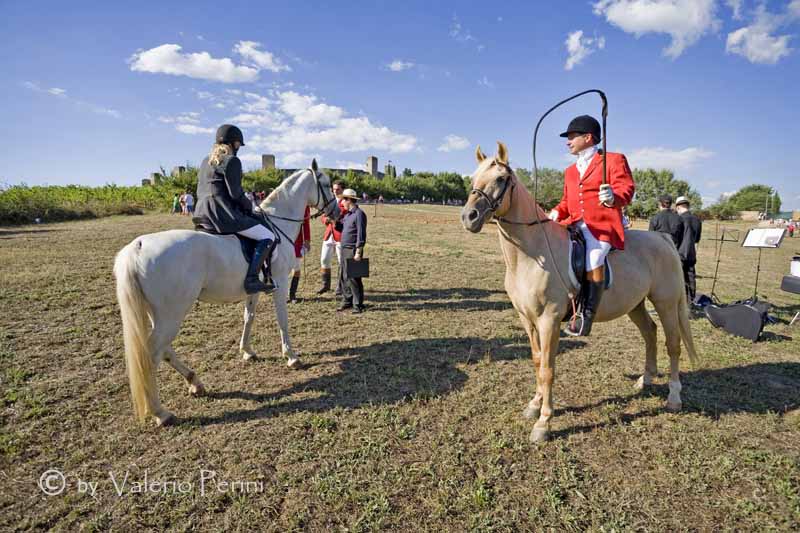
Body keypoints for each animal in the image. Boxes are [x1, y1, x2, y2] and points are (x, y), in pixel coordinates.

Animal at [112, 160, 338, 426]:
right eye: (326, 184)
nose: (336, 213)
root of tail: (137, 247)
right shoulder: (281, 283)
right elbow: (282, 320)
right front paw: (291, 356)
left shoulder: (255, 289)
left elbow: (248, 317)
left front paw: (247, 351)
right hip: (172, 313)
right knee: (154, 353)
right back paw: (161, 412)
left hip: (158, 314)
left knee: (163, 350)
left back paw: (195, 383)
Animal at [460, 141, 696, 440]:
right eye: (473, 177)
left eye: (501, 179)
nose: (469, 217)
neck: (532, 254)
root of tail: (662, 238)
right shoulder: (527, 319)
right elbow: (537, 361)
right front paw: (534, 405)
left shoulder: (549, 320)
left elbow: (548, 368)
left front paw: (544, 422)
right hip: (635, 304)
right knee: (650, 333)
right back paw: (645, 379)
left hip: (665, 303)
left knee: (673, 344)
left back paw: (674, 398)